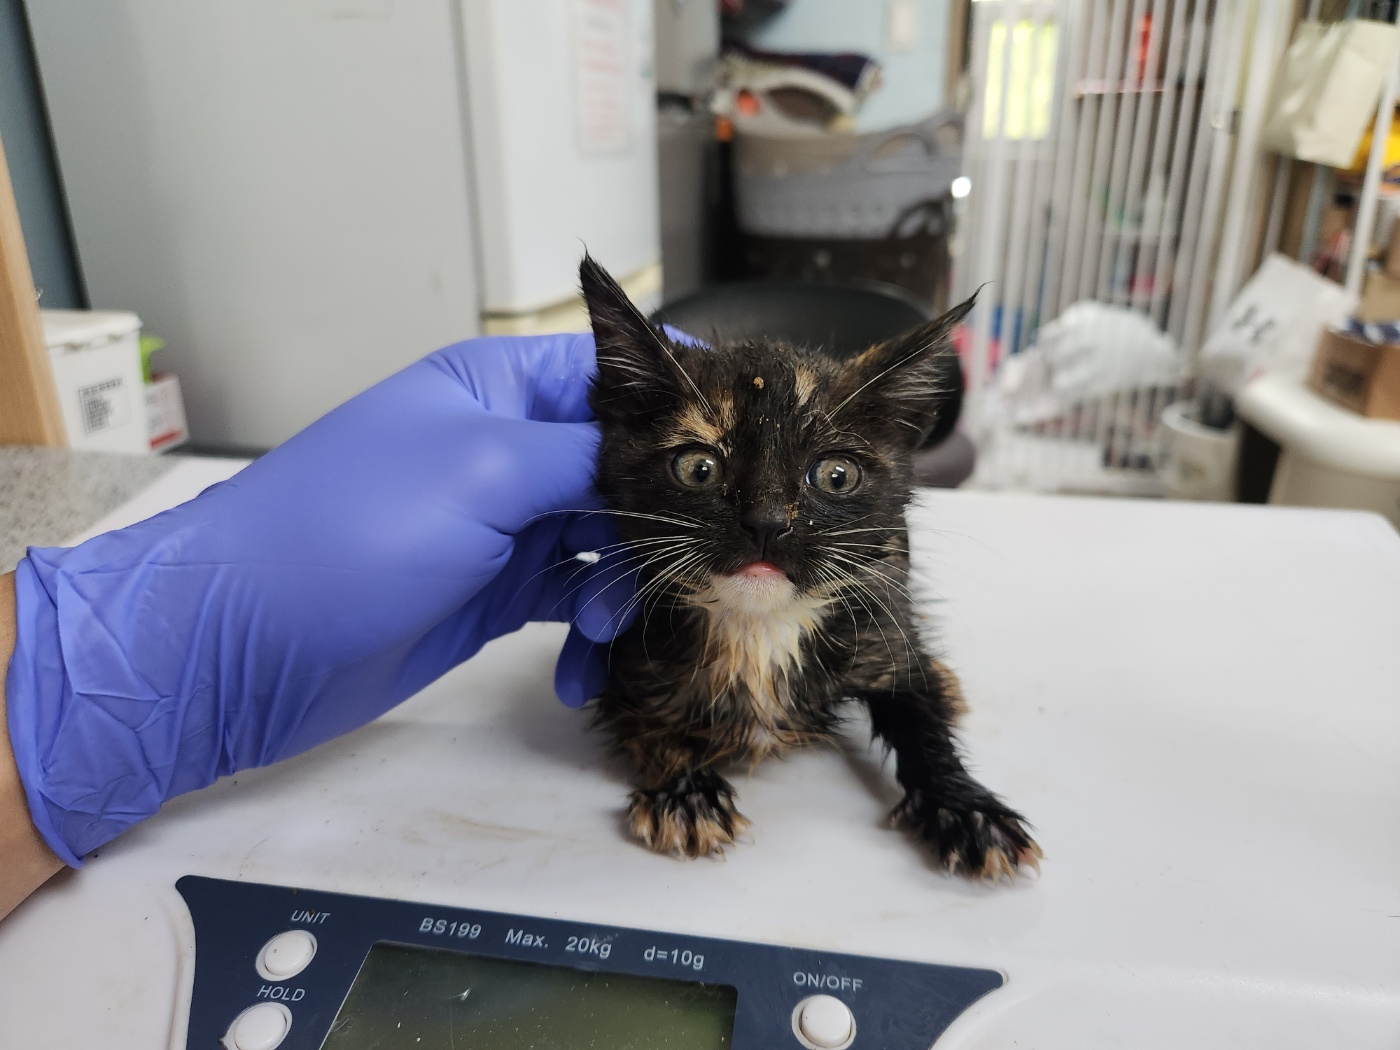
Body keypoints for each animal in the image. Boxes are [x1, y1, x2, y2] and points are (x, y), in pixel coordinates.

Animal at [579, 259, 1041, 884]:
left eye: (835, 475)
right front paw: (684, 793)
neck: (760, 626)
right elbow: (647, 725)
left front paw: (965, 807)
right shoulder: (623, 663)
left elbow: (920, 716)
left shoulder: (877, 616)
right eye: (698, 468)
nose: (767, 523)